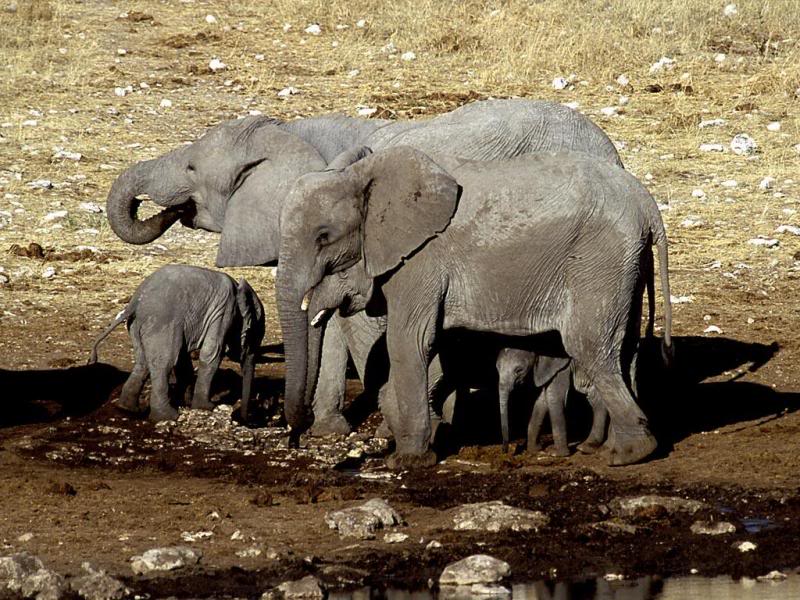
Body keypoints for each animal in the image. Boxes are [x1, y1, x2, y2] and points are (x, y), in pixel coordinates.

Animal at [89, 265, 265, 421]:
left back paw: (128, 409)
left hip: (137, 325)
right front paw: (205, 407)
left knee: (143, 362)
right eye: (254, 335)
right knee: (164, 364)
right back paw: (168, 416)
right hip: (162, 323)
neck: (238, 286)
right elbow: (212, 352)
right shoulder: (225, 311)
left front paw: (187, 402)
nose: (244, 419)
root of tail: (135, 302)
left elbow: (183, 357)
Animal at [275, 146, 673, 467]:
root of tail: (647, 204)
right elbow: (437, 348)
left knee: (588, 345)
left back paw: (628, 454)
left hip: (600, 260)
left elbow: (409, 342)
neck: (362, 175)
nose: (295, 439)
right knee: (625, 349)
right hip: (627, 264)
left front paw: (408, 460)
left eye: (323, 237)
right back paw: (612, 447)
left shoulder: (421, 259)